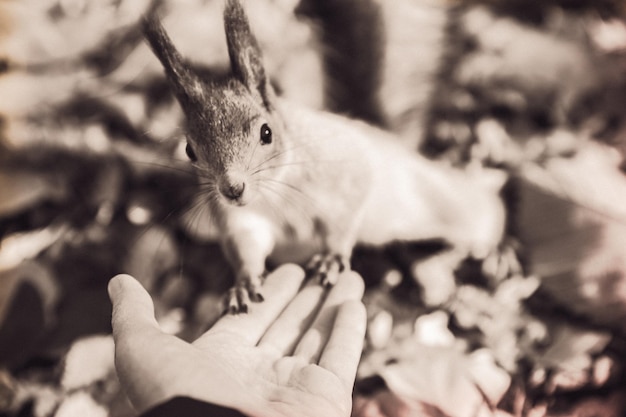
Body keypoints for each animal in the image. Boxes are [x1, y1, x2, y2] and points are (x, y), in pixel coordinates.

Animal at [140, 0, 502, 312]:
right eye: (190, 150)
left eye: (266, 133)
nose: (233, 189)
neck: (277, 188)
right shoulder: (239, 218)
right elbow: (247, 244)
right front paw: (244, 282)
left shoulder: (347, 171)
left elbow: (343, 217)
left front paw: (332, 256)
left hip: (431, 199)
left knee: (480, 211)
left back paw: (492, 249)